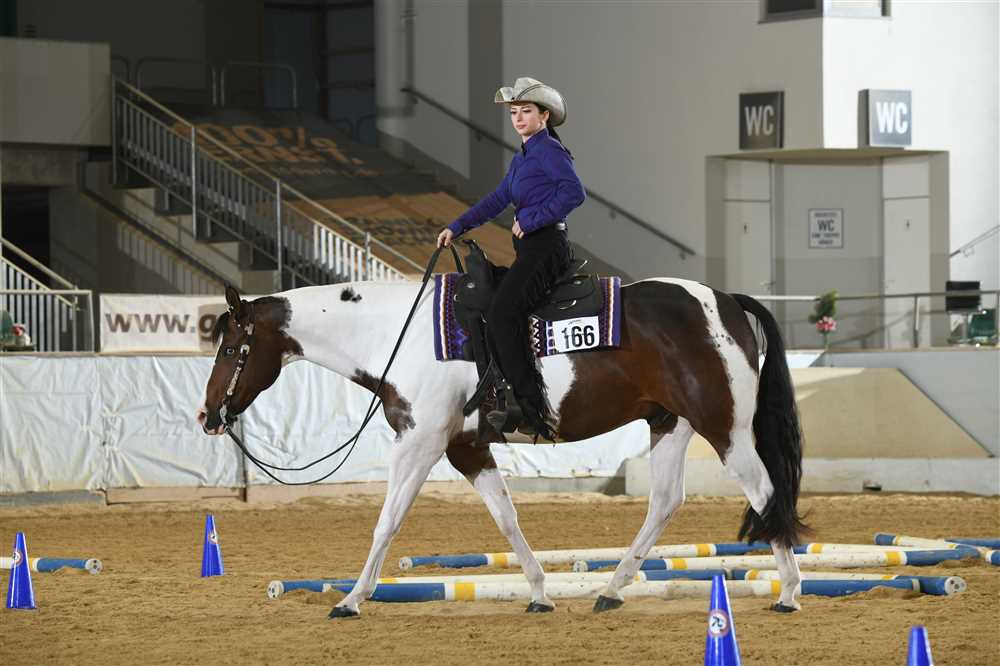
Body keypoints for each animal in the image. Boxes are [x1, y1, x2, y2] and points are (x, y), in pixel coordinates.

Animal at [197, 277, 808, 619]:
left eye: (229, 347)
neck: (398, 333)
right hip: (670, 424)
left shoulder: (418, 443)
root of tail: (725, 301)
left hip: (725, 428)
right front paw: (539, 593)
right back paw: (610, 590)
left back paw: (788, 592)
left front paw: (350, 600)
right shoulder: (466, 449)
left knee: (765, 493)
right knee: (664, 503)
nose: (207, 416)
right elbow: (507, 518)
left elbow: (387, 521)